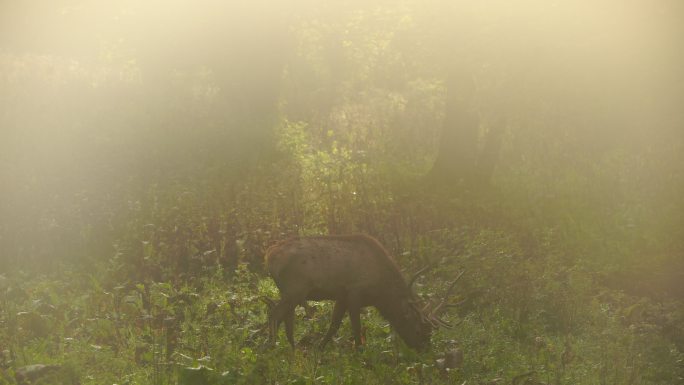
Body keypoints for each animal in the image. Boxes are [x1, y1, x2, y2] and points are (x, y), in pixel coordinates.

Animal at [262, 232, 460, 350]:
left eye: (431, 333)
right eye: (418, 331)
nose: (425, 351)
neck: (381, 293)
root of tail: (269, 255)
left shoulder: (341, 296)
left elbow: (334, 325)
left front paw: (320, 349)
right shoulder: (354, 292)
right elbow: (356, 328)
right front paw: (359, 353)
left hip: (291, 293)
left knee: (287, 319)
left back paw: (293, 349)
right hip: (294, 289)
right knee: (274, 314)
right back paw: (272, 348)